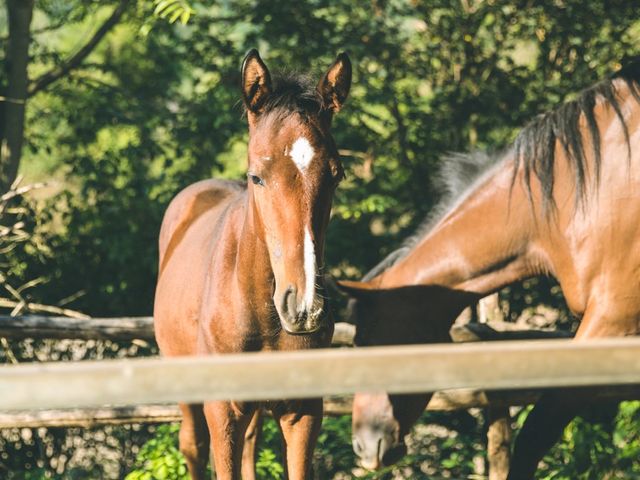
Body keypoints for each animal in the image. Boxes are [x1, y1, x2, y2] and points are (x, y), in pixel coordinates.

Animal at [155, 49, 352, 480]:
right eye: (257, 177)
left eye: (336, 176)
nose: (304, 307)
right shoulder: (223, 410)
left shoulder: (303, 413)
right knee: (192, 445)